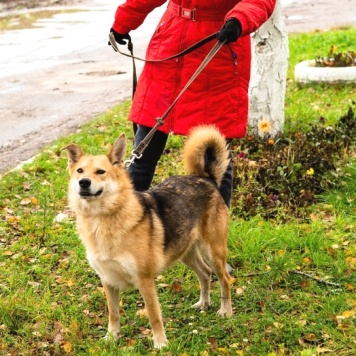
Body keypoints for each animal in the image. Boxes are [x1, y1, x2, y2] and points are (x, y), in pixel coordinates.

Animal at [62, 125, 232, 348]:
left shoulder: (144, 280)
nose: (83, 182)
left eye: (100, 172)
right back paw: (204, 303)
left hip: (213, 252)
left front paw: (160, 343)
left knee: (224, 279)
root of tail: (206, 178)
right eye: (80, 171)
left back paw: (226, 311)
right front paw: (111, 337)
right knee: (205, 273)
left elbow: (153, 315)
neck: (103, 219)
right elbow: (113, 313)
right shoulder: (107, 280)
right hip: (185, 251)